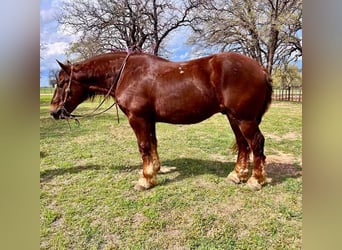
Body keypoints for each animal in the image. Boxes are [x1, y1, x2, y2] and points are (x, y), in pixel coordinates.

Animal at [48, 51, 272, 190]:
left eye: (61, 83)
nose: (53, 112)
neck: (127, 73)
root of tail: (260, 69)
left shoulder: (137, 118)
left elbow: (144, 146)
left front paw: (146, 180)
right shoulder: (149, 119)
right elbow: (153, 143)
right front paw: (156, 169)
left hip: (244, 119)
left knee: (256, 142)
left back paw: (256, 180)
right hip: (234, 118)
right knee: (243, 144)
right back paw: (238, 175)